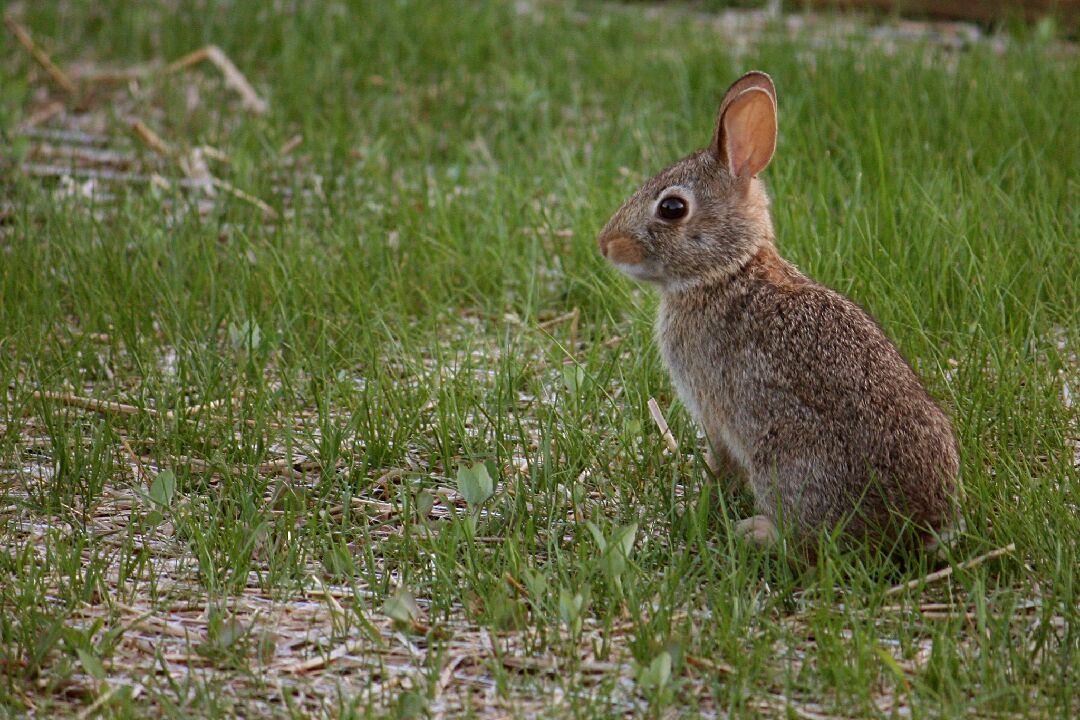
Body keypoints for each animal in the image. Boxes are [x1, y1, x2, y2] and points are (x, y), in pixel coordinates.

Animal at [600, 71, 963, 552]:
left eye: (672, 208)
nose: (606, 244)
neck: (728, 271)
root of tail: (917, 526)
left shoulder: (713, 410)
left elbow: (720, 459)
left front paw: (704, 494)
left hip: (787, 460)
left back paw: (756, 532)